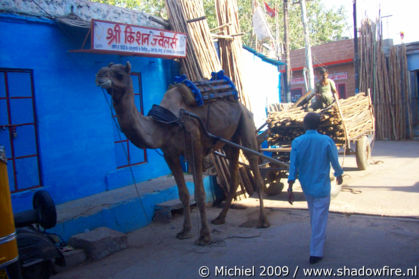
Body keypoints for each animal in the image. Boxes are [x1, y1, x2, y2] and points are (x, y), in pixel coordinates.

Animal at [95, 62, 270, 246]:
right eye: (105, 68)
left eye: (119, 74)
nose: (99, 75)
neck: (165, 123)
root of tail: (240, 103)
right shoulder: (169, 154)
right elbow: (184, 194)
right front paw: (185, 231)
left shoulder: (195, 147)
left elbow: (199, 193)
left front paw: (204, 236)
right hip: (229, 140)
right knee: (234, 173)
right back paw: (220, 218)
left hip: (246, 122)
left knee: (254, 163)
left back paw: (263, 221)